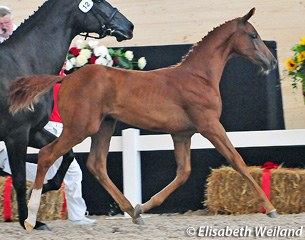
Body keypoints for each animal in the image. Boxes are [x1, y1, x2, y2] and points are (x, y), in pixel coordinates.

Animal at [0, 0, 132, 230]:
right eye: (99, 2)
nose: (129, 26)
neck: (22, 64)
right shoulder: (16, 135)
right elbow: (19, 178)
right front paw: (28, 221)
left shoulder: (33, 132)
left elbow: (66, 155)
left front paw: (44, 188)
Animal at [9, 8, 276, 232]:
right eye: (253, 35)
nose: (271, 61)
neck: (198, 77)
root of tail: (65, 78)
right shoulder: (209, 125)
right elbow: (237, 160)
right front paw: (271, 208)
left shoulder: (182, 134)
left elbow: (184, 172)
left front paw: (142, 207)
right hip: (80, 127)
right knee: (47, 155)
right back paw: (31, 219)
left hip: (104, 126)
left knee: (96, 164)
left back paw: (132, 212)